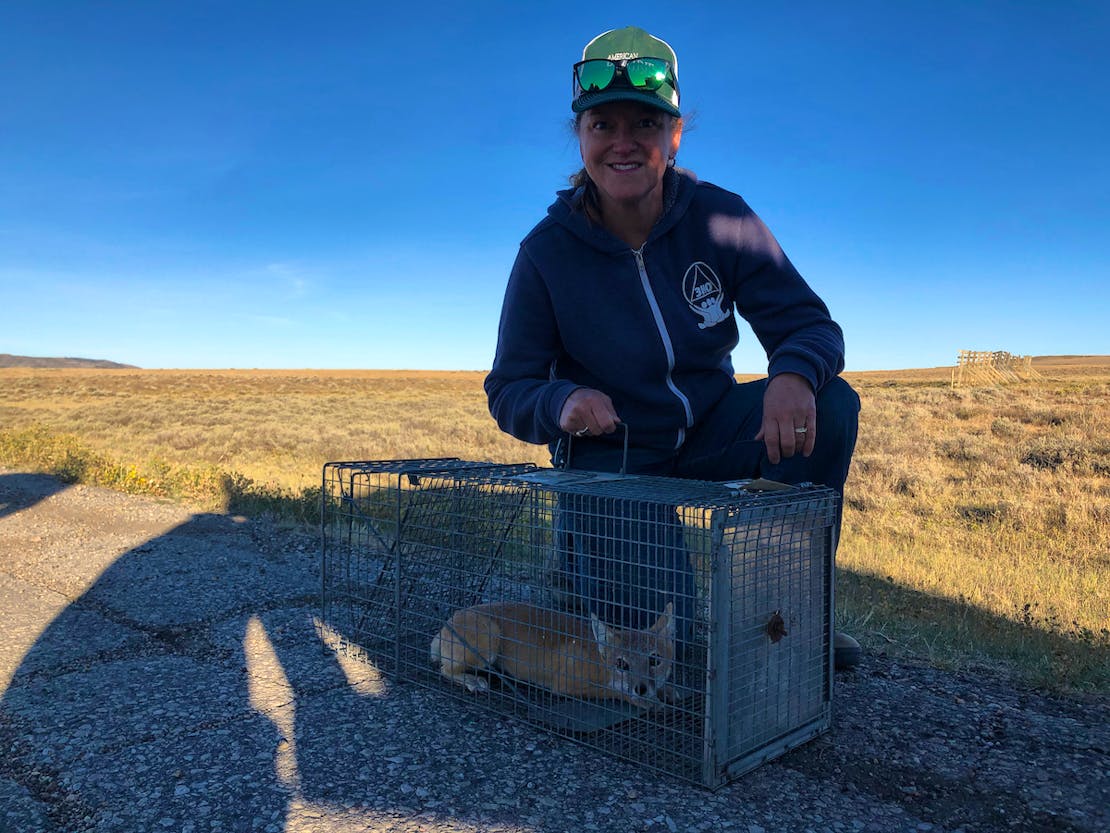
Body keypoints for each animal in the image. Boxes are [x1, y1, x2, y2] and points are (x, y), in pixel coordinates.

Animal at [430, 599, 674, 710]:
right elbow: (613, 692)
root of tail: (446, 625)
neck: (598, 661)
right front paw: (645, 701)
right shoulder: (565, 684)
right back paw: (471, 680)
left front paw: (667, 691)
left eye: (655, 660)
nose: (641, 688)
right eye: (622, 664)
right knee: (445, 669)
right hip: (489, 641)